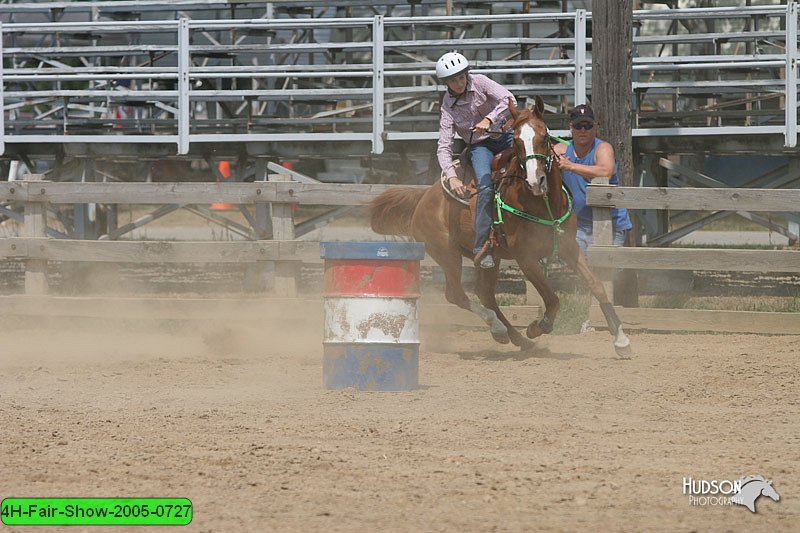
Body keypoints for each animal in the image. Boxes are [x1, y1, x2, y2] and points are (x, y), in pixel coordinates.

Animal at [372, 94, 636, 358]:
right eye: (517, 141)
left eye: (545, 136)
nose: (535, 181)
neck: (542, 202)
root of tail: (424, 198)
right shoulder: (525, 257)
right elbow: (552, 298)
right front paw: (538, 326)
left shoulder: (568, 247)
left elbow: (596, 285)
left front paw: (621, 340)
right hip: (447, 254)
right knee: (456, 294)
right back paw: (501, 328)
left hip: (489, 257)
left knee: (485, 294)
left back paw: (515, 338)